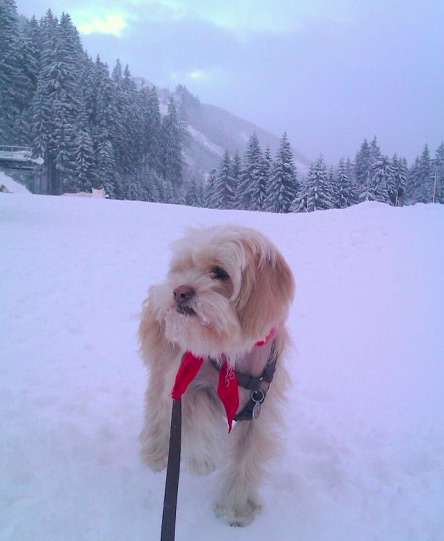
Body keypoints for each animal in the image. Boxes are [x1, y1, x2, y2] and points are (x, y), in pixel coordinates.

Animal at [139, 223, 294, 524]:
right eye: (183, 267)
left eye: (220, 272)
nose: (179, 291)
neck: (233, 358)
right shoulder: (184, 380)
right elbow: (198, 415)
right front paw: (204, 460)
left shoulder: (260, 410)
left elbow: (248, 458)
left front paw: (235, 509)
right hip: (161, 367)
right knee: (157, 412)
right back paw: (156, 454)